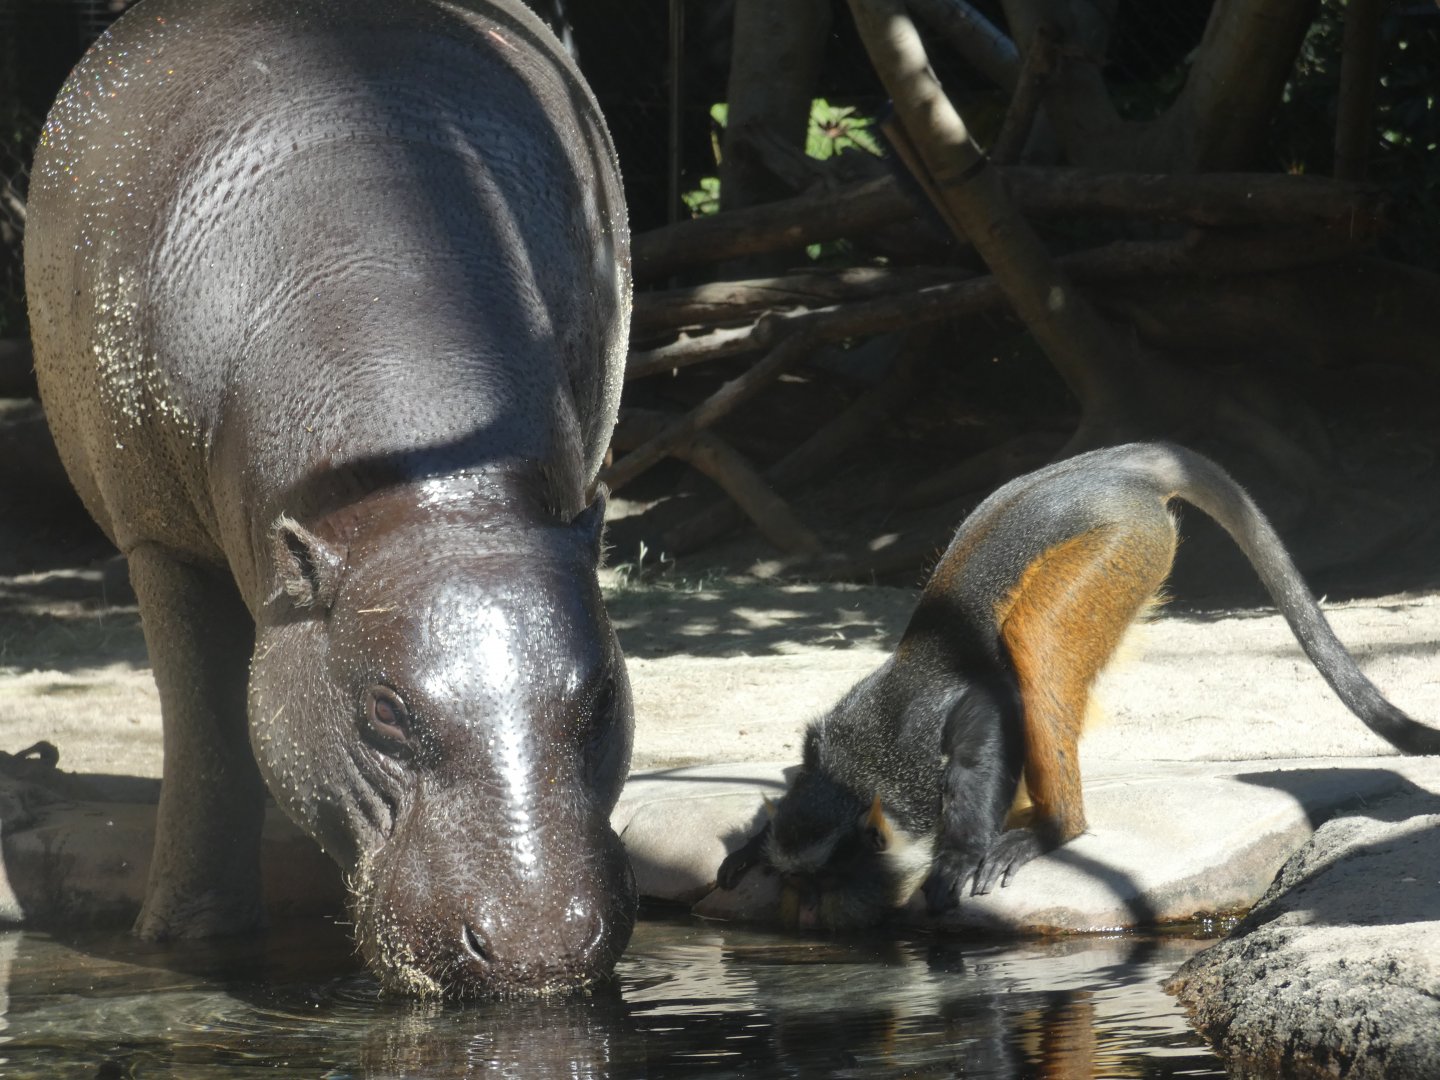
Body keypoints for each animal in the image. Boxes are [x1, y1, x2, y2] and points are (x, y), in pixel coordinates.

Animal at [24, 0, 635, 997]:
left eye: (605, 693)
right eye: (383, 710)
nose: (536, 951)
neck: (433, 490)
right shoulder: (162, 543)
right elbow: (210, 737)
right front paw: (190, 940)